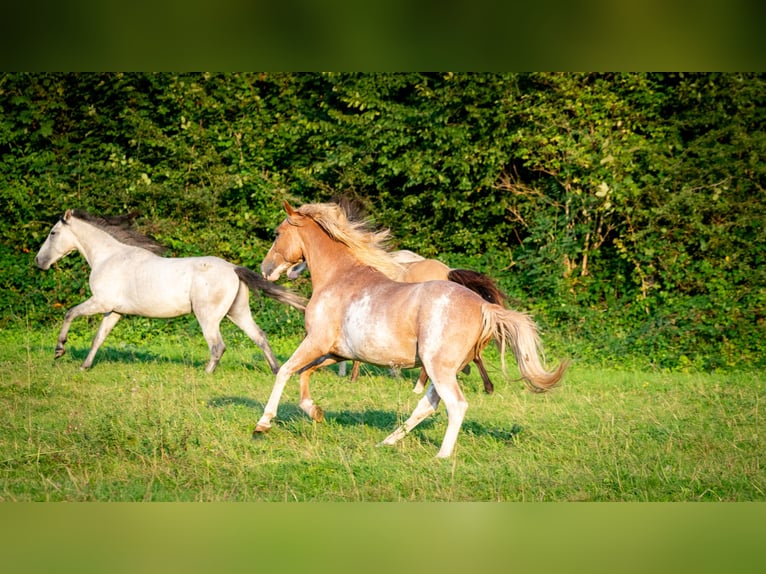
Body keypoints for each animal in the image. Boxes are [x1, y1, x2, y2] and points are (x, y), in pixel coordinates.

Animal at [34, 209, 308, 376]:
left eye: (53, 233)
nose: (39, 261)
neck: (109, 257)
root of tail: (232, 268)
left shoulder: (100, 302)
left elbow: (70, 313)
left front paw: (59, 350)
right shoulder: (113, 311)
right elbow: (98, 338)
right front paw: (85, 366)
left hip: (208, 317)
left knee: (217, 346)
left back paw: (205, 374)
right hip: (237, 312)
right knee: (259, 336)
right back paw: (276, 370)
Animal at [240, 202, 568, 460]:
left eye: (277, 234)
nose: (265, 269)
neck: (338, 278)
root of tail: (483, 306)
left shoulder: (316, 342)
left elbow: (285, 371)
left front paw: (262, 425)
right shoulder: (335, 352)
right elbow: (304, 374)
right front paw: (314, 412)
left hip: (439, 368)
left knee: (455, 405)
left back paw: (441, 455)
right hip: (442, 369)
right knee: (428, 406)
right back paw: (387, 442)